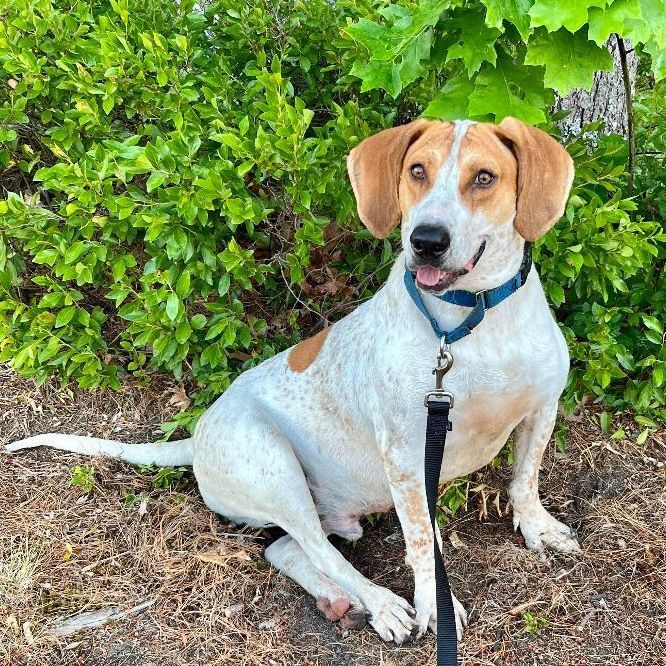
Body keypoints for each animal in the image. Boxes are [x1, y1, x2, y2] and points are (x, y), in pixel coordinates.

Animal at [5, 115, 576, 644]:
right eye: (417, 171)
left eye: (484, 177)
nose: (426, 240)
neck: (471, 321)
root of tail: (197, 437)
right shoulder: (408, 458)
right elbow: (422, 543)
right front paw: (435, 606)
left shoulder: (541, 409)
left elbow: (525, 481)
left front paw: (538, 529)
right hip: (276, 470)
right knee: (321, 551)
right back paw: (379, 604)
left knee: (289, 549)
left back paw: (337, 598)